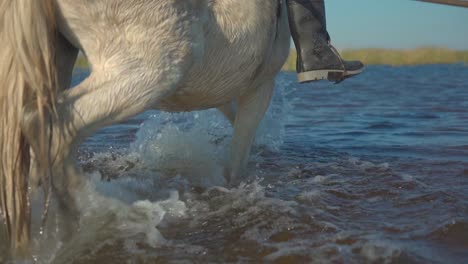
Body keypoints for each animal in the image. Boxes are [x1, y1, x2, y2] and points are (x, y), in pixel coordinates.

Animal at [0, 0, 290, 258]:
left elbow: (232, 116)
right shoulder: (260, 87)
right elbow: (238, 160)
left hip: (56, 60)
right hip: (152, 69)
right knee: (44, 122)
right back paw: (85, 214)